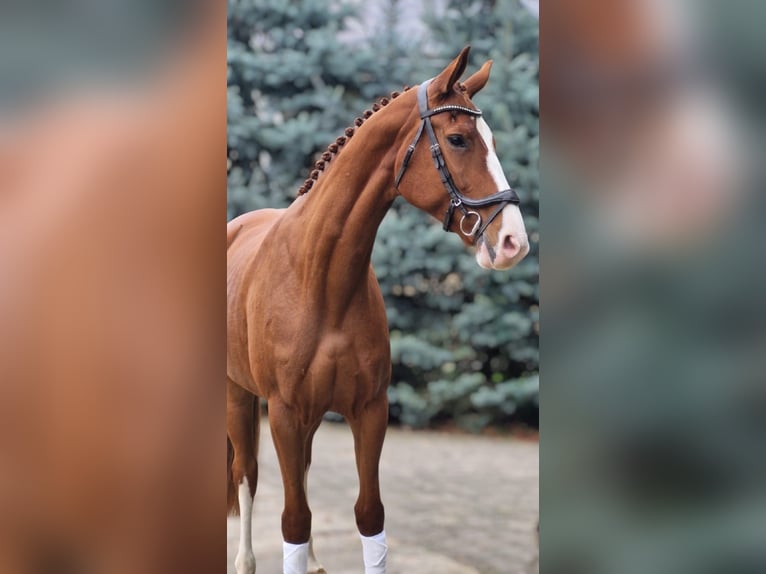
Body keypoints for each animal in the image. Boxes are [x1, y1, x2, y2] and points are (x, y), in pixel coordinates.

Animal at [226, 46, 530, 574]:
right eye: (458, 139)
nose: (514, 240)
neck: (319, 279)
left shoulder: (370, 409)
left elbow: (369, 515)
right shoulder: (283, 412)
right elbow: (292, 520)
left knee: (301, 472)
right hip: (238, 397)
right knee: (247, 473)